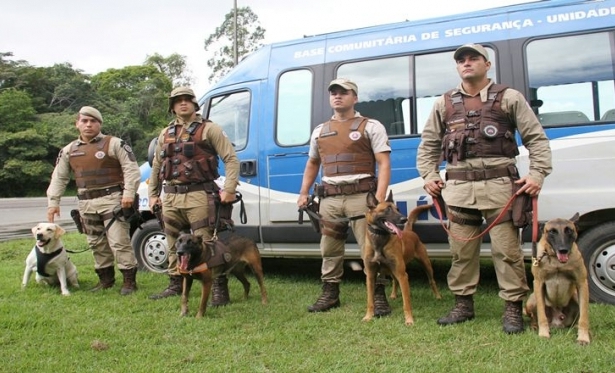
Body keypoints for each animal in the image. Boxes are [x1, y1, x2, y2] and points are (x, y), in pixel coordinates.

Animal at [360, 190, 442, 324]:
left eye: (397, 209)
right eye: (387, 210)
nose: (404, 218)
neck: (380, 241)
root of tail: (410, 231)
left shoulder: (403, 275)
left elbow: (406, 302)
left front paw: (409, 320)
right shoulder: (371, 275)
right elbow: (369, 301)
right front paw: (368, 316)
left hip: (426, 265)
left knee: (432, 281)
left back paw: (438, 296)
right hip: (392, 270)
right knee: (394, 281)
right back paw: (393, 294)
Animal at [524, 214, 592, 344]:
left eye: (569, 230)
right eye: (552, 231)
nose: (563, 249)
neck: (556, 261)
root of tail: (557, 321)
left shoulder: (582, 283)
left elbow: (584, 317)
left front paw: (583, 337)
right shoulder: (538, 283)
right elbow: (541, 315)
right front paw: (543, 334)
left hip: (576, 296)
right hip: (531, 300)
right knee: (534, 317)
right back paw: (534, 326)